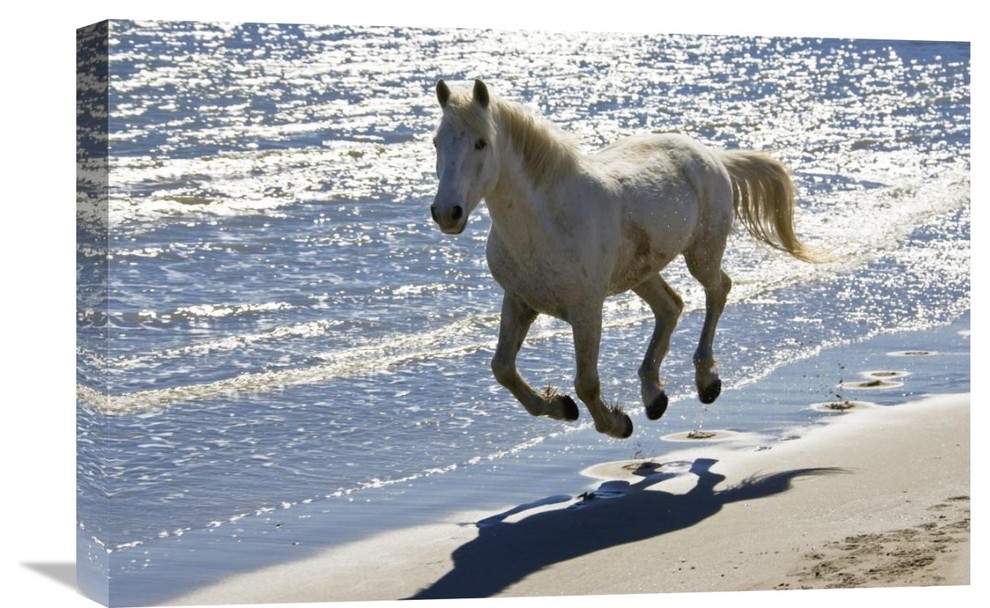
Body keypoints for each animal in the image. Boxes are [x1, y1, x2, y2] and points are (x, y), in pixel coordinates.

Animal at [430, 81, 816, 440]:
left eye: (481, 143)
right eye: (436, 142)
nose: (447, 213)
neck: (548, 220)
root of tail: (710, 156)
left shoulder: (587, 310)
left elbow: (586, 382)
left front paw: (617, 424)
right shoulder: (519, 301)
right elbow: (503, 369)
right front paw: (561, 406)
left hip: (702, 254)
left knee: (718, 290)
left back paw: (706, 380)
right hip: (640, 273)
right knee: (671, 306)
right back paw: (653, 396)